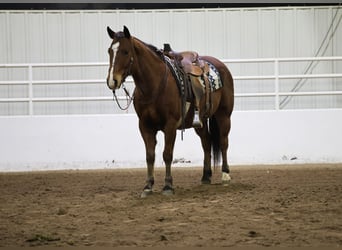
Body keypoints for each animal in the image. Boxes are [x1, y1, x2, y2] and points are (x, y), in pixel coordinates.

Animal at [106, 25, 235, 197]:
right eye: (110, 51)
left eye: (125, 52)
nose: (112, 81)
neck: (154, 85)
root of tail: (221, 66)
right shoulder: (145, 125)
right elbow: (150, 156)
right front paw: (148, 186)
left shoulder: (170, 125)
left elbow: (167, 154)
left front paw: (168, 185)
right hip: (200, 121)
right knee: (206, 143)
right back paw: (206, 176)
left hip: (224, 115)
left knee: (223, 141)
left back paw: (225, 175)